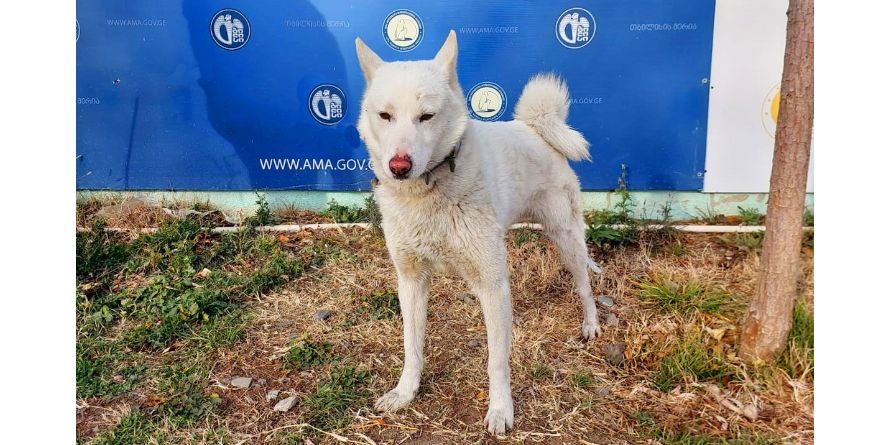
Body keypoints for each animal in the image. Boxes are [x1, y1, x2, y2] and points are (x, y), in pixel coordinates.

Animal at [354, 29, 604, 432]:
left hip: (565, 237)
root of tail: (534, 127)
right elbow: (412, 345)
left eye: (427, 116)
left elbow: (497, 361)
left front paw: (501, 410)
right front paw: (405, 392)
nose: (398, 166)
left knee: (584, 284)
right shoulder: (409, 280)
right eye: (385, 116)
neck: (429, 192)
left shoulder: (492, 285)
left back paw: (591, 323)